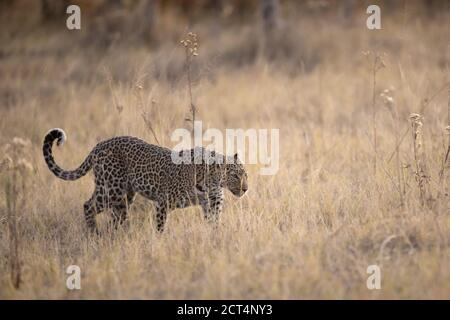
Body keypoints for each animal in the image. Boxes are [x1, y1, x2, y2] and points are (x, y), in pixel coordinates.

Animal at [42, 129, 248, 234]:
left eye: (245, 175)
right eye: (236, 175)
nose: (245, 189)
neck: (213, 181)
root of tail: (98, 146)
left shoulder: (212, 203)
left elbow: (214, 222)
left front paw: (216, 238)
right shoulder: (164, 202)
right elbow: (160, 227)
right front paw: (160, 243)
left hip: (124, 197)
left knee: (115, 217)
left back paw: (114, 237)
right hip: (111, 189)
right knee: (88, 205)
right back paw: (94, 234)